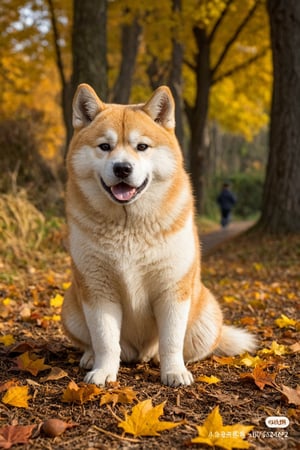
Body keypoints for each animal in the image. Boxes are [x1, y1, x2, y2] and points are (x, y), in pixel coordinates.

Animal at [61, 84, 255, 386]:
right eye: (105, 146)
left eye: (142, 146)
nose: (122, 168)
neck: (129, 227)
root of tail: (140, 353)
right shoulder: (98, 288)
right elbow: (105, 340)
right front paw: (104, 370)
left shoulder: (172, 288)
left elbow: (171, 340)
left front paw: (174, 371)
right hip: (70, 306)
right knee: (95, 343)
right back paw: (90, 357)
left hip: (208, 317)